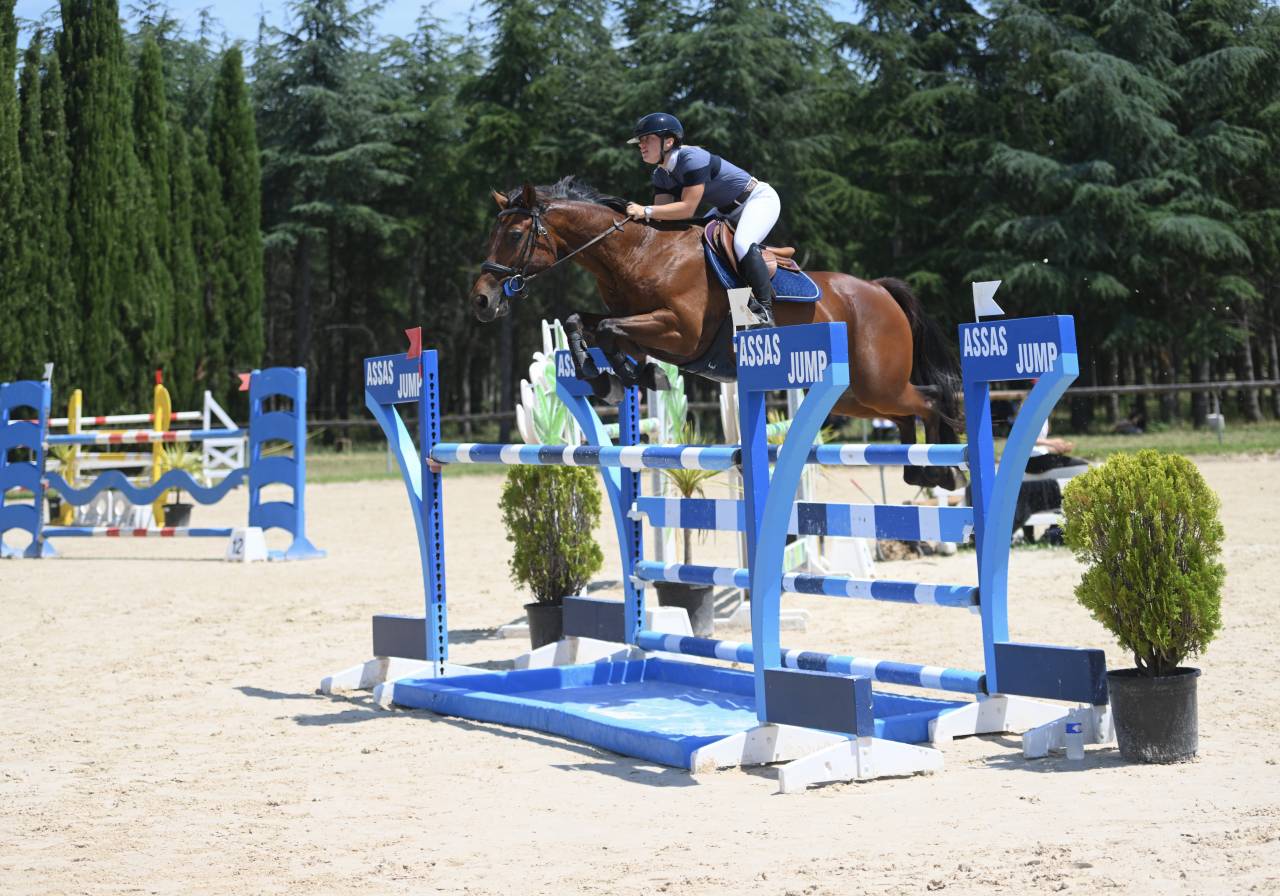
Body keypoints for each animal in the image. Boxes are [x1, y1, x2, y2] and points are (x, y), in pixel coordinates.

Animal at [469, 177, 964, 490]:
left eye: (514, 234)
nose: (481, 301)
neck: (637, 253)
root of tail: (878, 289)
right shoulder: (636, 321)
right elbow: (581, 322)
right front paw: (607, 377)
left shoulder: (681, 334)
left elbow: (611, 331)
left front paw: (629, 376)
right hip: (855, 396)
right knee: (904, 413)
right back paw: (923, 471)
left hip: (877, 383)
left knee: (929, 400)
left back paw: (944, 470)